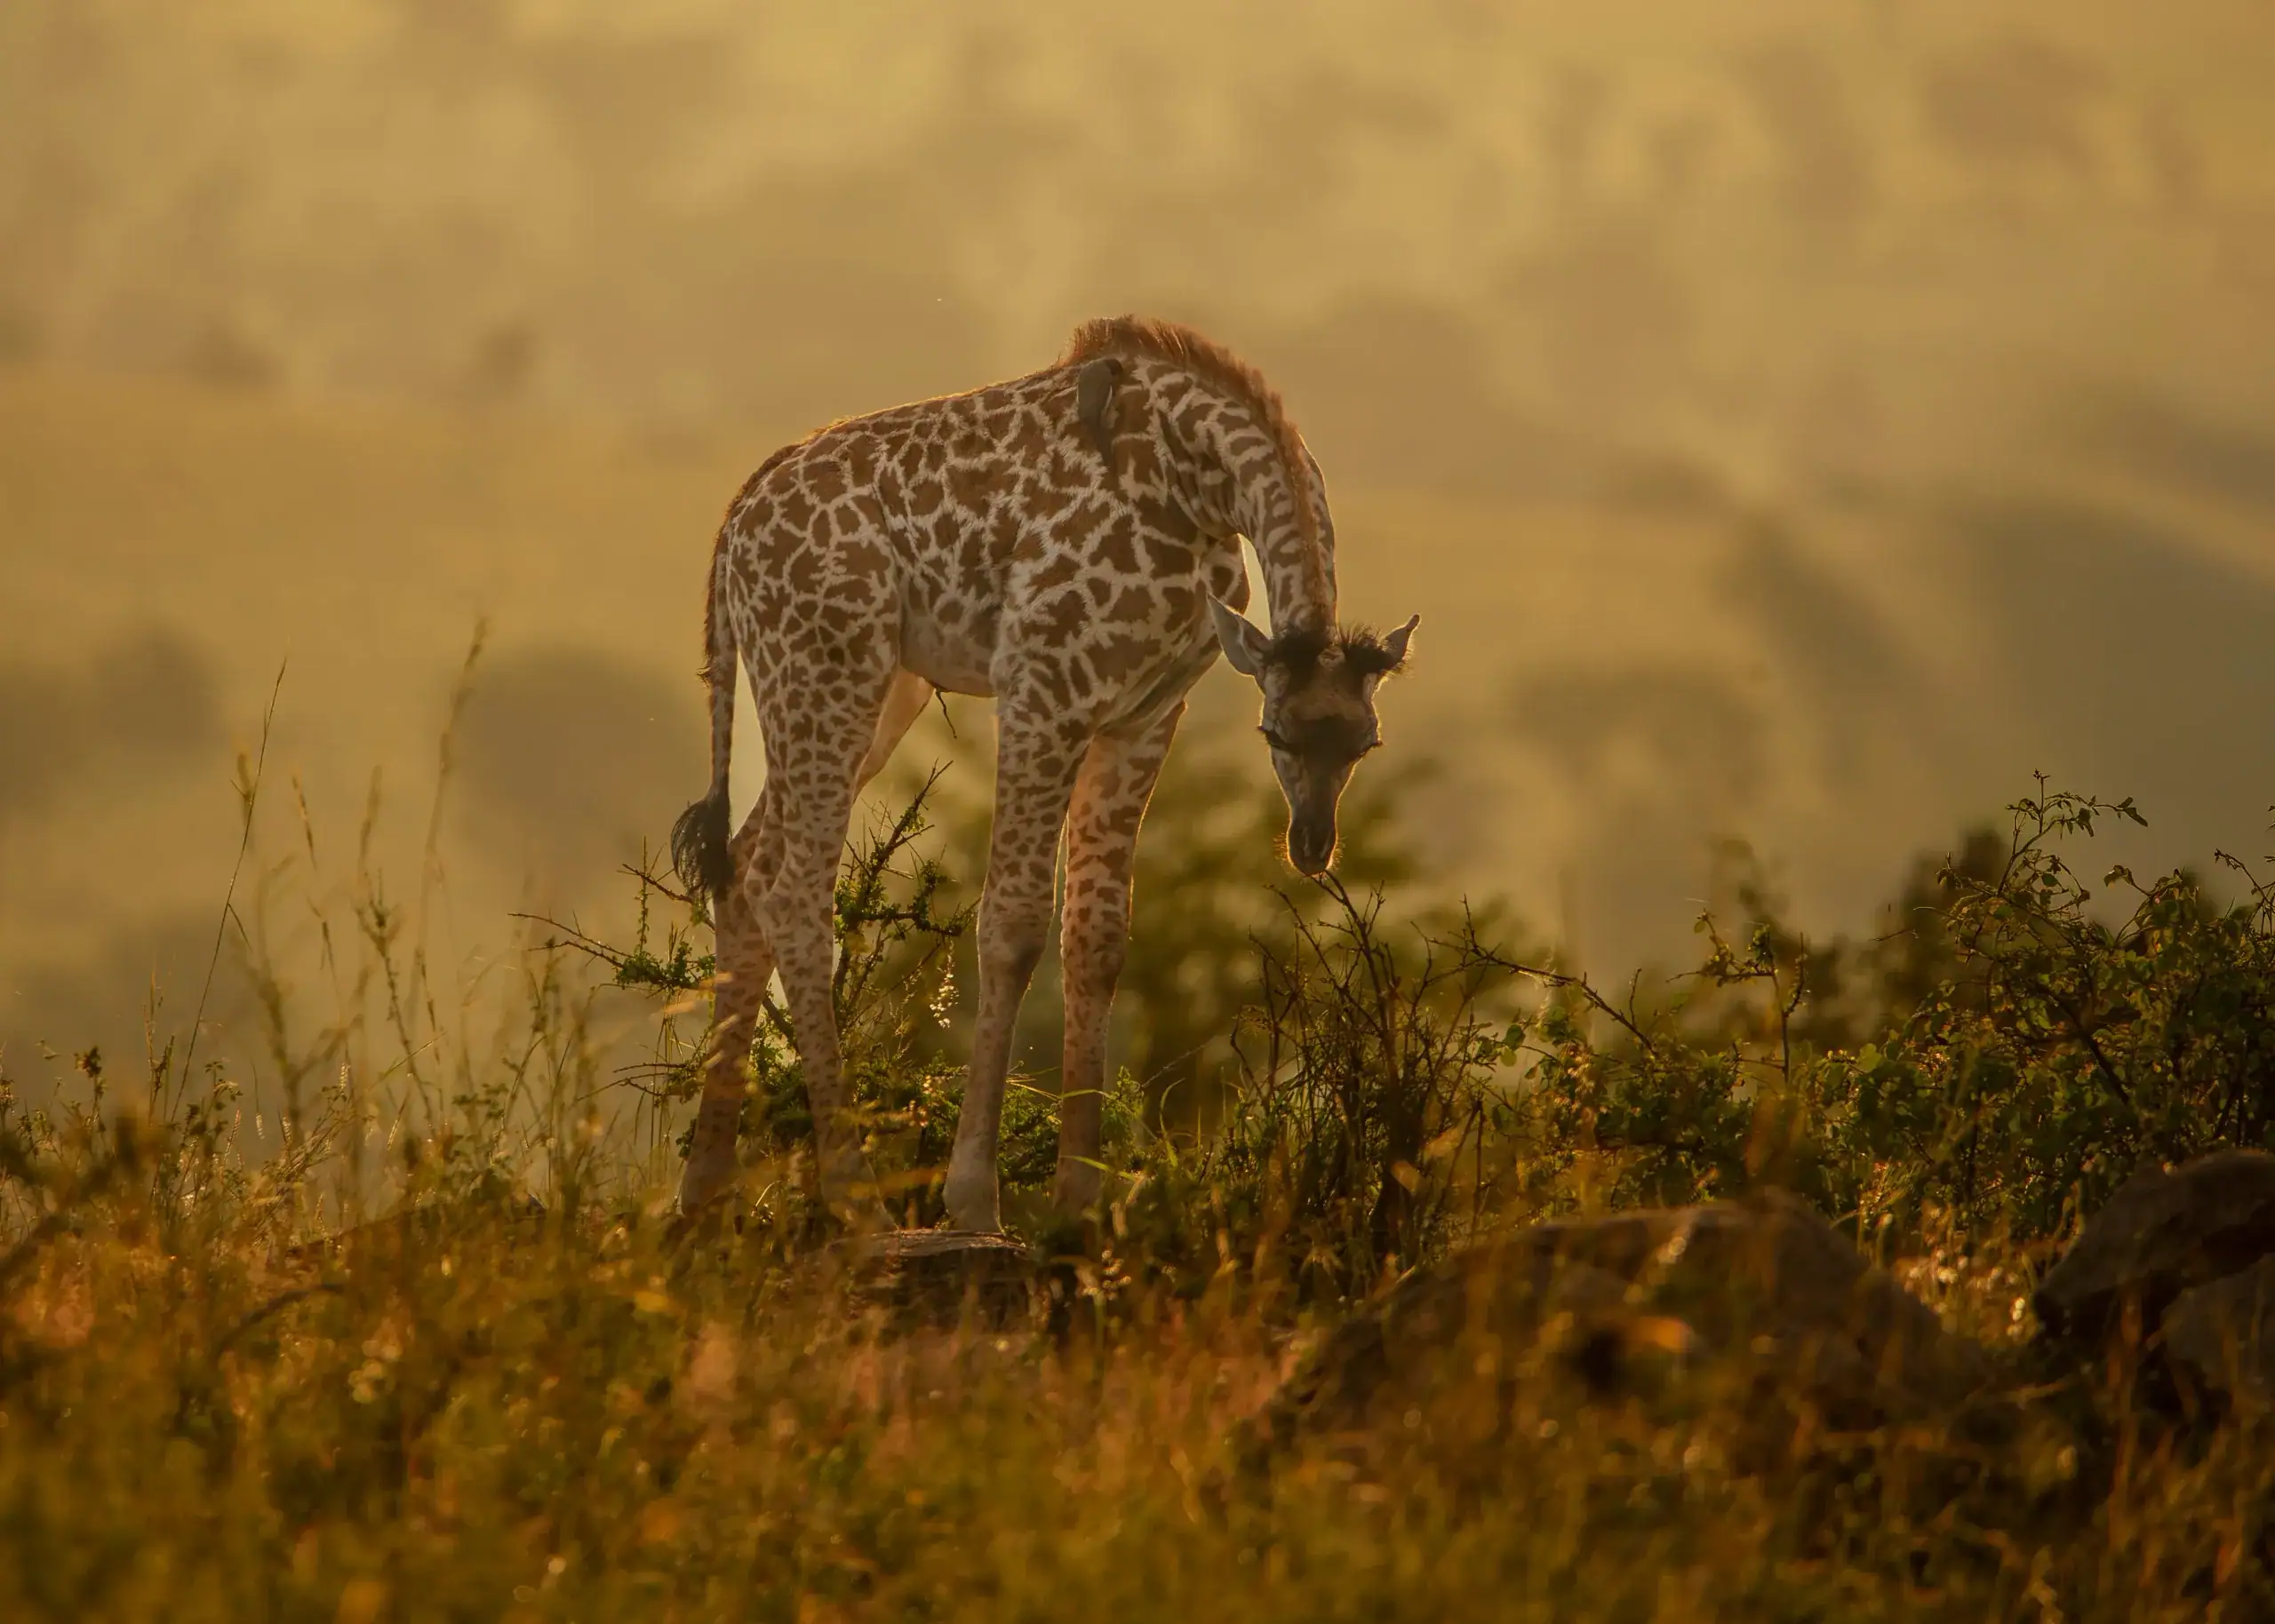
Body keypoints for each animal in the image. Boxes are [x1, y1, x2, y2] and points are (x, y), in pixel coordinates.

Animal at [669, 316, 1418, 1233]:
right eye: (1271, 730)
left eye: (1365, 745)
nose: (1312, 847)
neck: (1194, 480)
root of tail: (734, 528)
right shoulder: (1043, 685)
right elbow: (1015, 925)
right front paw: (973, 1198)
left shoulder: (1142, 712)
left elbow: (1097, 940)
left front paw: (1080, 1201)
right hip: (826, 666)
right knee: (791, 891)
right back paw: (855, 1197)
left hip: (877, 686)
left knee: (744, 866)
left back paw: (703, 1194)